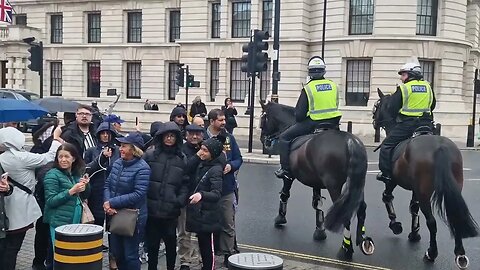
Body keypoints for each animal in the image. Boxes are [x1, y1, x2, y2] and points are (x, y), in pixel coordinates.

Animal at [258, 100, 376, 258]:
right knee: (360, 208)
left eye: (263, 118)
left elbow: (285, 194)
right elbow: (317, 203)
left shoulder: (290, 176)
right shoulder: (316, 181)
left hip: (334, 185)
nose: (263, 140)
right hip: (357, 183)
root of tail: (350, 142)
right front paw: (320, 231)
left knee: (345, 213)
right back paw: (363, 240)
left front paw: (280, 218)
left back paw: (346, 249)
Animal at [374, 88, 478, 268]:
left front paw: (396, 225)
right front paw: (414, 233)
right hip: (452, 188)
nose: (374, 121)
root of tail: (440, 147)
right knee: (454, 216)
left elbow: (387, 197)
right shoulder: (415, 188)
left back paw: (431, 253)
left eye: (377, 105)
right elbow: (413, 207)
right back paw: (460, 254)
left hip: (424, 193)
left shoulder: (392, 181)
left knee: (432, 222)